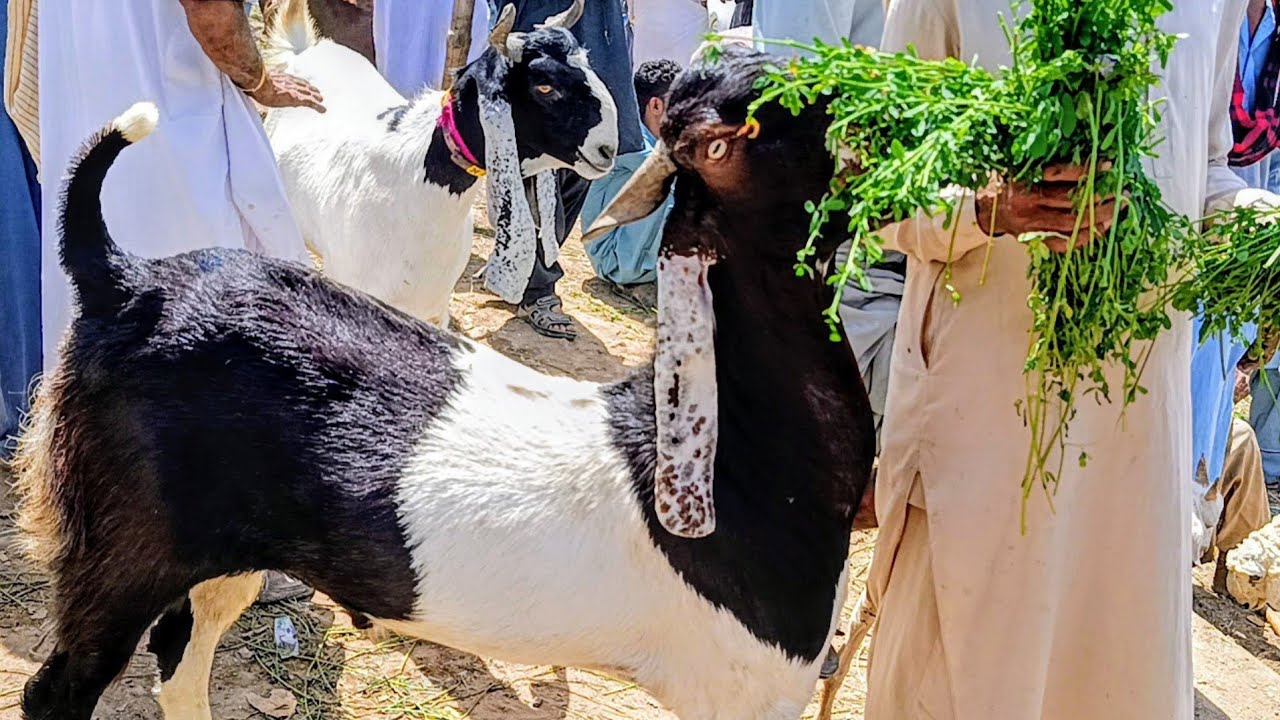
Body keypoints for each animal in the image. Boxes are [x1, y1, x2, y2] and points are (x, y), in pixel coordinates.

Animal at [15, 46, 874, 720]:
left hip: (220, 551)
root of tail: (125, 279)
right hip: (123, 544)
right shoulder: (742, 688)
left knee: (179, 661)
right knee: (60, 690)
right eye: (775, 113)